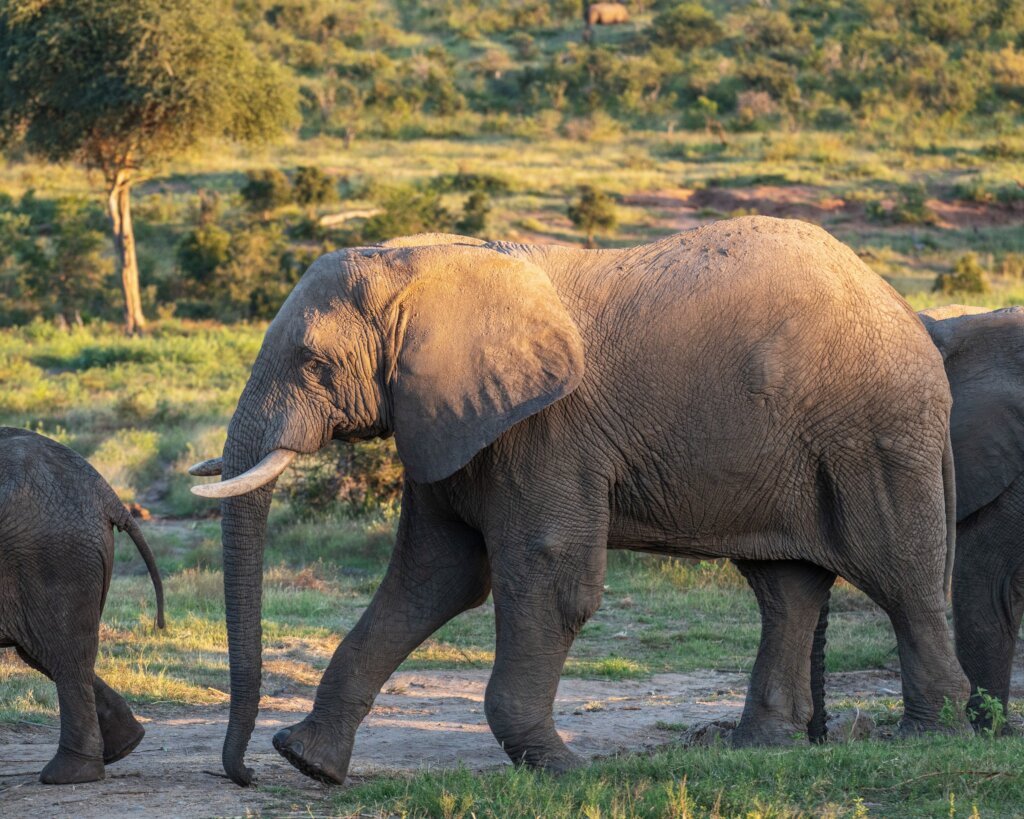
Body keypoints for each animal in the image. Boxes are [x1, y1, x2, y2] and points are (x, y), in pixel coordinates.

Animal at [0, 427, 165, 784]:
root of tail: (107, 495)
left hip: (53, 556)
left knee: (62, 654)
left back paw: (69, 774)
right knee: (49, 655)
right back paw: (125, 746)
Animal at [189, 216, 967, 787]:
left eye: (314, 364)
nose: (243, 774)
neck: (434, 261)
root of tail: (916, 325)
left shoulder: (546, 430)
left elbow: (548, 576)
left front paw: (563, 771)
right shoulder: (454, 419)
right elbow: (431, 579)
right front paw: (308, 763)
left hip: (874, 435)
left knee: (901, 577)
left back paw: (931, 734)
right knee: (786, 588)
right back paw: (758, 748)